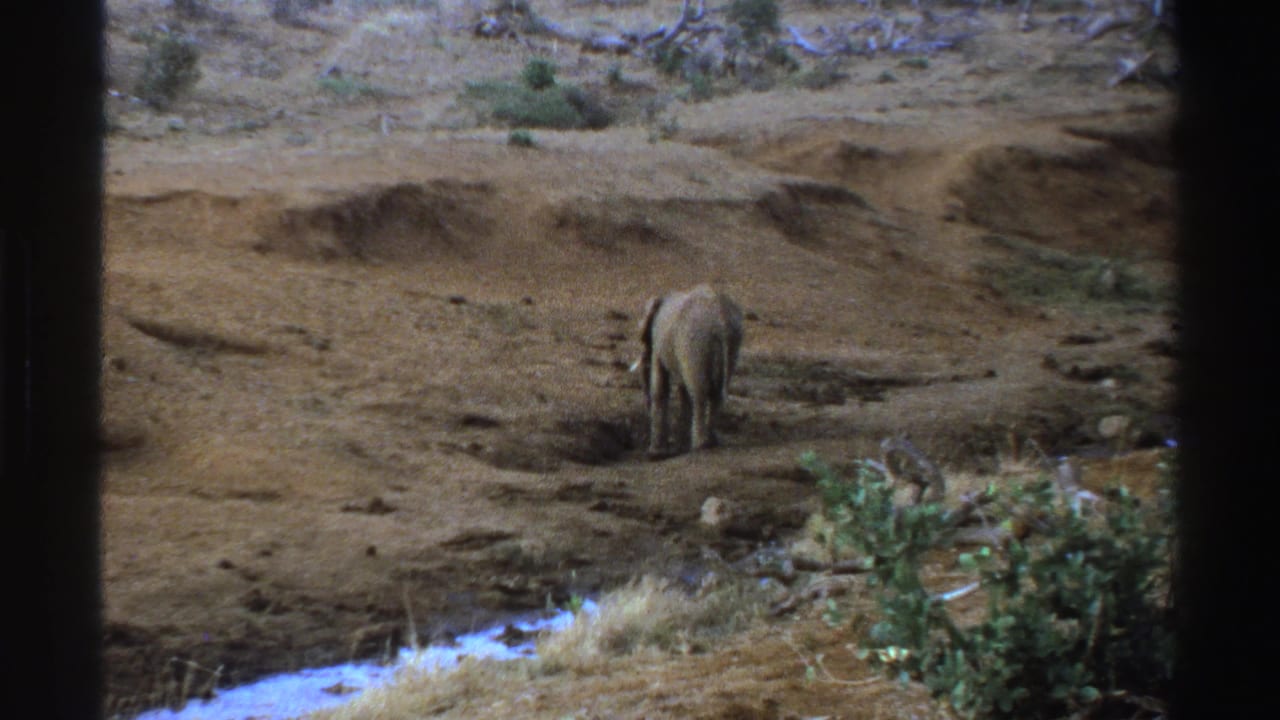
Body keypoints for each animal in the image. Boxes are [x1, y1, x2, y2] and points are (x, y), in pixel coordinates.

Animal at [638, 284, 744, 458]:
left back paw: (700, 445)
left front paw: (655, 453)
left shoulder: (659, 341)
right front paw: (679, 447)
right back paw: (710, 442)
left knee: (698, 392)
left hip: (694, 342)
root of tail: (721, 320)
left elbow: (660, 387)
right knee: (715, 393)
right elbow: (682, 391)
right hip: (732, 343)